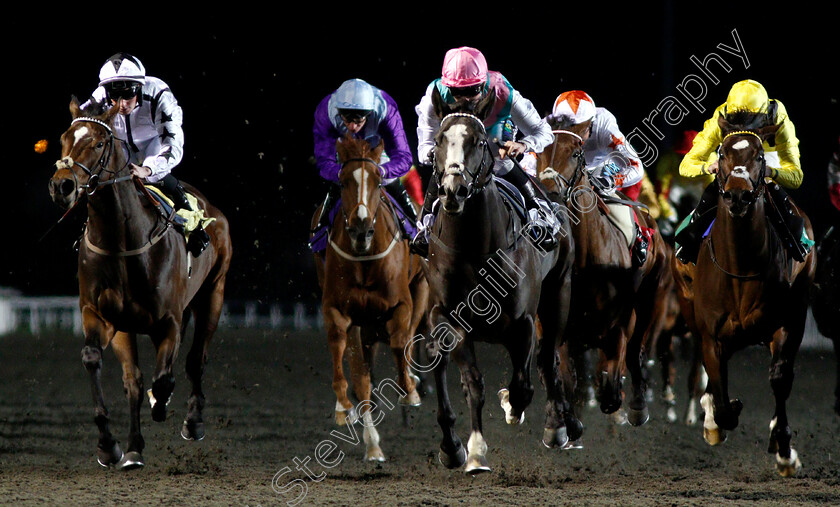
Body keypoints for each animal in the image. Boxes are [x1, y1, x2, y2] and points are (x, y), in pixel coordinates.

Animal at [49, 97, 233, 470]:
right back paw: (134, 446)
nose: (62, 186)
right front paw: (111, 446)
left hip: (213, 293)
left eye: (99, 143)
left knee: (196, 359)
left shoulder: (170, 320)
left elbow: (165, 379)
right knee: (135, 378)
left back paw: (193, 422)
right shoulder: (103, 316)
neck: (122, 242)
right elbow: (101, 362)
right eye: (63, 139)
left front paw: (162, 405)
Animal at [310, 134, 430, 460]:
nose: (361, 229)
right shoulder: (339, 311)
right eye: (342, 182)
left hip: (421, 289)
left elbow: (401, 342)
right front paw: (345, 410)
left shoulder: (402, 303)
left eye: (378, 181)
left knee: (410, 337)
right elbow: (352, 369)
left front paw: (409, 391)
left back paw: (412, 381)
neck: (364, 260)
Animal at [424, 85, 576, 474]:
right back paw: (451, 444)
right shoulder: (449, 318)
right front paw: (474, 451)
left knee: (549, 358)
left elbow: (523, 384)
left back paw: (557, 427)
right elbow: (472, 383)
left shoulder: (522, 322)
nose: (453, 190)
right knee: (438, 365)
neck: (473, 248)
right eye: (439, 140)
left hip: (559, 295)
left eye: (478, 141)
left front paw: (511, 406)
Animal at [540, 120, 668, 436]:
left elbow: (610, 388)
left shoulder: (620, 324)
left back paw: (636, 404)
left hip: (651, 298)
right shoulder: (563, 323)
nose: (548, 192)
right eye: (538, 151)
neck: (587, 261)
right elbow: (566, 374)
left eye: (575, 153)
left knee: (635, 350)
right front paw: (565, 421)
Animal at [672, 115, 816, 476]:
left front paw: (784, 451)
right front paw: (716, 419)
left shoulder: (785, 324)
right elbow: (719, 388)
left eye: (760, 156)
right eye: (721, 153)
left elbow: (780, 379)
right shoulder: (711, 334)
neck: (739, 263)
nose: (738, 196)